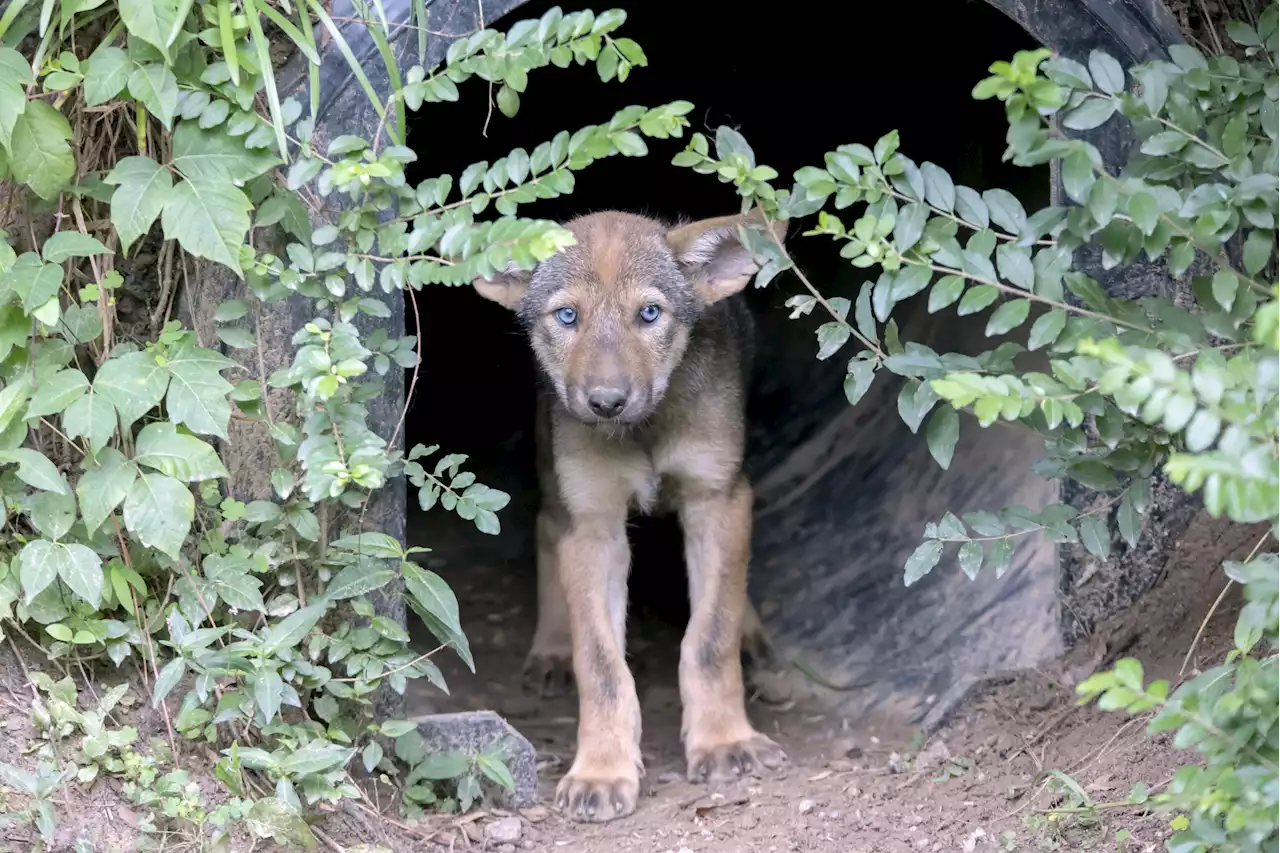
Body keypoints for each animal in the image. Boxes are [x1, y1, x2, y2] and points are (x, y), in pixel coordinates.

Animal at [476, 208, 783, 819]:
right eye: (567, 315)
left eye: (649, 314)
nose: (606, 402)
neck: (643, 431)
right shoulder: (594, 524)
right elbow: (601, 665)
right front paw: (600, 770)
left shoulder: (716, 498)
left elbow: (710, 638)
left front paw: (725, 742)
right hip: (557, 472)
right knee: (547, 527)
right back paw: (550, 648)